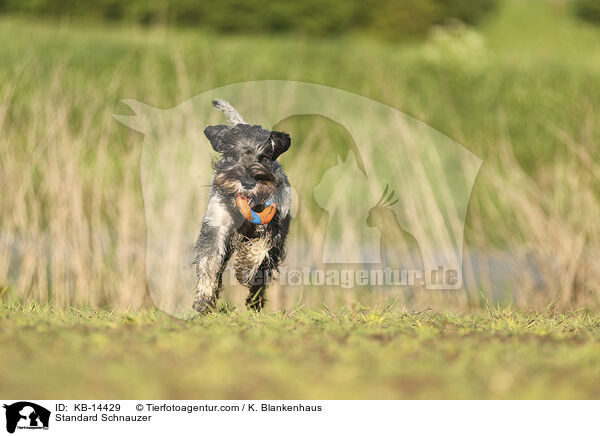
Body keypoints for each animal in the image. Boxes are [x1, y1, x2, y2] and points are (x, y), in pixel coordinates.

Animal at [192, 99, 292, 314]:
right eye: (231, 154)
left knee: (261, 278)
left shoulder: (272, 227)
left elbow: (260, 247)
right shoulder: (216, 227)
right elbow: (208, 261)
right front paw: (204, 298)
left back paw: (255, 303)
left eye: (263, 157)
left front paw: (245, 268)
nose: (247, 182)